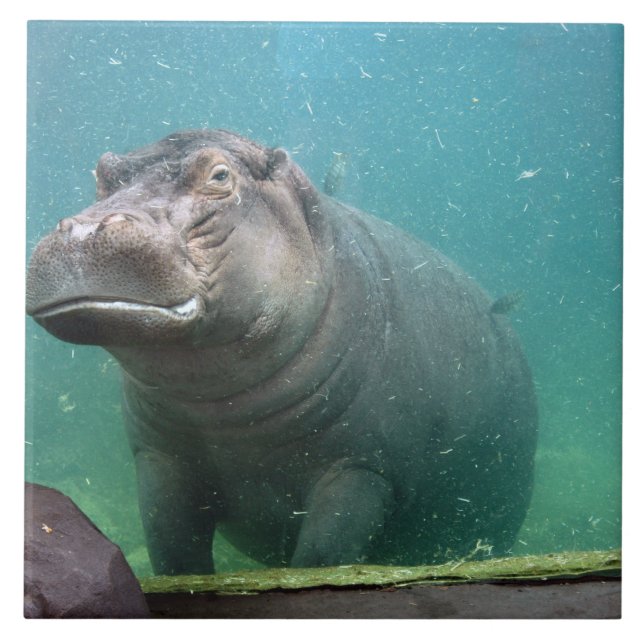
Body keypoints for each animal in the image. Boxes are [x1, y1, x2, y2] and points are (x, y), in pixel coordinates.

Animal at [26, 130, 538, 575]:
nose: (84, 230)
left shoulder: (363, 469)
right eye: (102, 172)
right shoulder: (159, 459)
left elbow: (321, 557)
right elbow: (173, 553)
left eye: (219, 175)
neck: (222, 410)